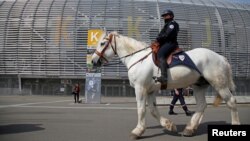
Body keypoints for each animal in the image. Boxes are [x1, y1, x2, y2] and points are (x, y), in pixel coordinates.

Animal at [91, 31, 240, 139]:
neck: (138, 58)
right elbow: (152, 110)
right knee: (202, 105)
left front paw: (137, 131)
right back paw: (190, 128)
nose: (93, 61)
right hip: (199, 86)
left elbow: (141, 109)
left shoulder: (140, 88)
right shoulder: (150, 90)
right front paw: (169, 125)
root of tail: (221, 57)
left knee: (231, 102)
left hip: (219, 84)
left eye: (102, 43)